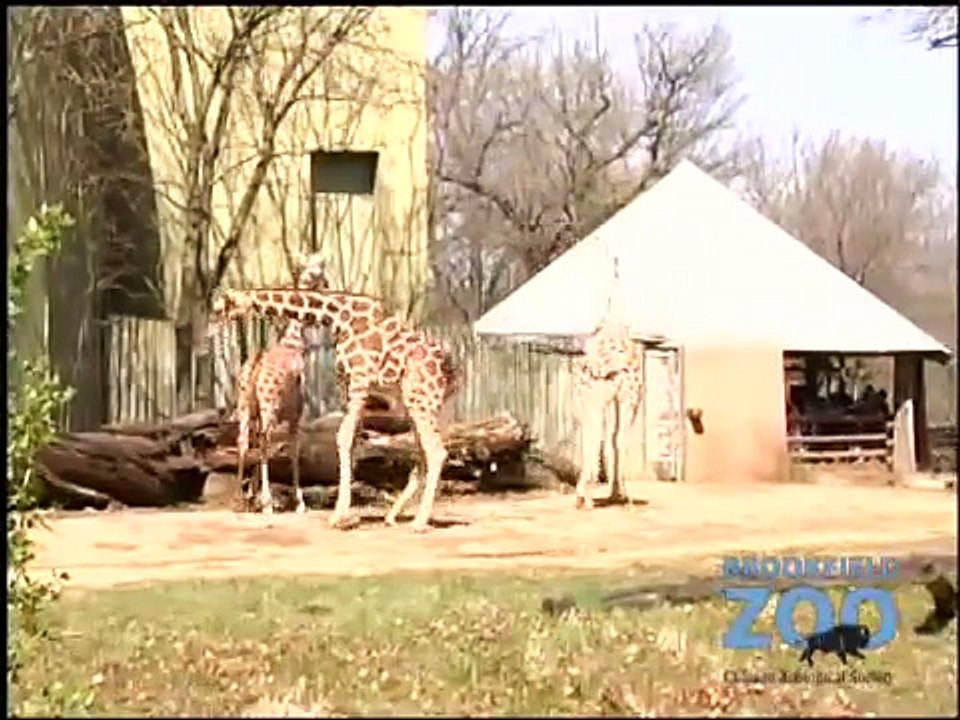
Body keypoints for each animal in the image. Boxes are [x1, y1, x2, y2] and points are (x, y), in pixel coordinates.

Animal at [209, 286, 458, 532]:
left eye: (220, 308)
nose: (210, 331)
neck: (338, 316)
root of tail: (450, 370)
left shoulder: (359, 379)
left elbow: (343, 437)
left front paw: (338, 516)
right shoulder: (347, 385)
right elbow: (352, 440)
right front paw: (345, 514)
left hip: (422, 399)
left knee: (436, 450)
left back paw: (419, 522)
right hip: (417, 400)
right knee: (423, 450)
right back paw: (392, 516)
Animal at [230, 254, 329, 515]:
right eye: (319, 270)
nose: (326, 285)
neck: (294, 343)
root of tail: (255, 367)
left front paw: (251, 496)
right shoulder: (296, 413)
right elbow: (293, 450)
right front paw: (300, 502)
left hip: (245, 406)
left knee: (244, 441)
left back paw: (238, 500)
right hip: (269, 407)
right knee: (265, 441)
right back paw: (267, 503)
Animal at [571, 256, 645, 509]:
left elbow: (609, 439)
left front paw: (614, 494)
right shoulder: (628, 396)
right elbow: (617, 439)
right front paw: (622, 495)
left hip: (588, 399)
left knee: (590, 436)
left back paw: (584, 496)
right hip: (618, 397)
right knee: (611, 437)